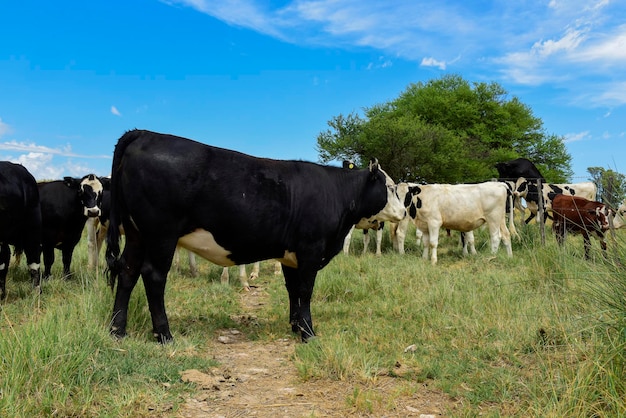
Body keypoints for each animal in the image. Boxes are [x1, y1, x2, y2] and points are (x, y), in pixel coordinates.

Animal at [104, 130, 402, 342]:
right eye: (390, 187)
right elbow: (306, 291)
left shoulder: (291, 255)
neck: (336, 193)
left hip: (136, 234)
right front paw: (308, 333)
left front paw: (295, 325)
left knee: (127, 271)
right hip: (161, 235)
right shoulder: (311, 249)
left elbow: (293, 289)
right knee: (153, 276)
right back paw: (164, 334)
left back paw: (117, 330)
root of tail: (144, 133)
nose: (402, 212)